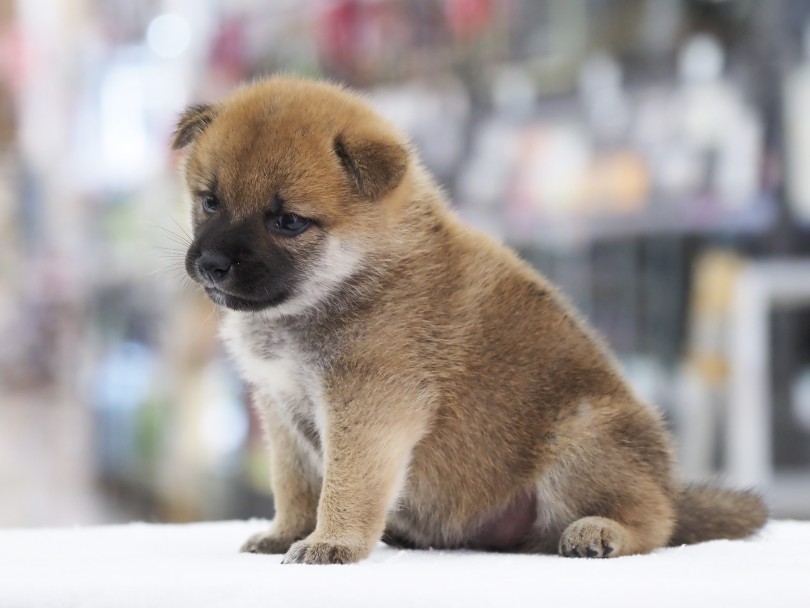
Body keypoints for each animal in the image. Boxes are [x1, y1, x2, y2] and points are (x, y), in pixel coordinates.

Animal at [170, 77, 764, 564]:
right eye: (210, 201)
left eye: (288, 222)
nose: (211, 264)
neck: (354, 278)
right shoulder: (281, 413)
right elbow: (295, 486)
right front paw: (286, 533)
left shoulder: (369, 407)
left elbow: (346, 485)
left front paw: (331, 542)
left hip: (583, 441)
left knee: (655, 522)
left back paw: (600, 531)